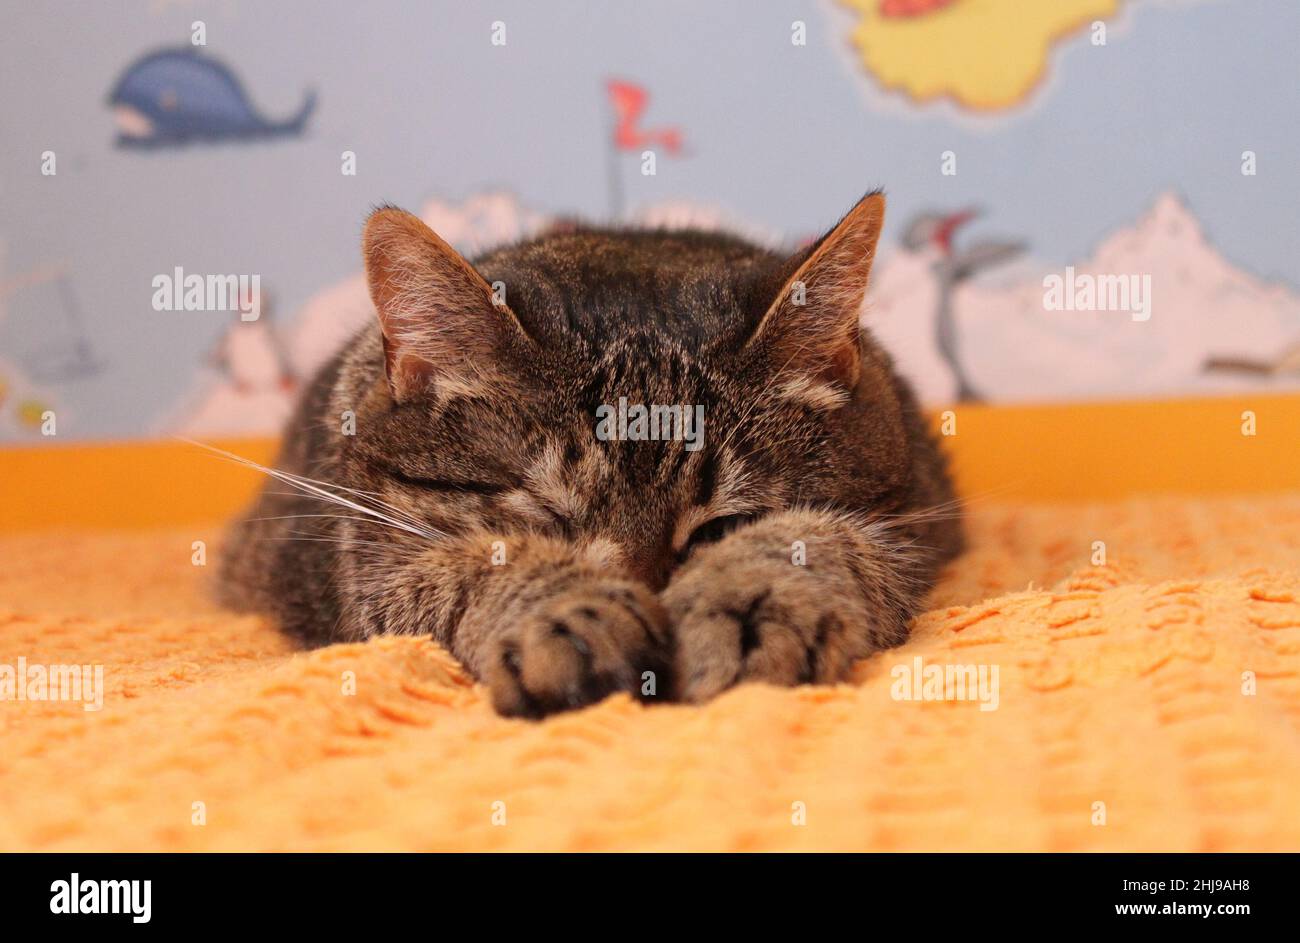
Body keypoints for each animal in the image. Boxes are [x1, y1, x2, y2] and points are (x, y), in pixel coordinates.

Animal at [218, 191, 961, 712]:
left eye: (722, 527)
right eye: (551, 523)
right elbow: (466, 569)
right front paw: (569, 612)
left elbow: (822, 541)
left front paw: (750, 601)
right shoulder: (356, 571)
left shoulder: (910, 528)